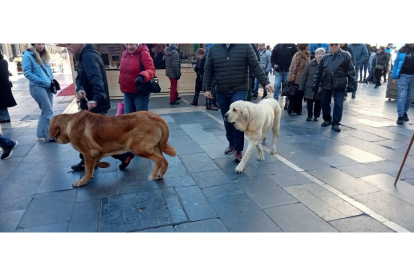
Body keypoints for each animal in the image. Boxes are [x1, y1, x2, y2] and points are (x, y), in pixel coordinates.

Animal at [49, 111, 177, 187]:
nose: (53, 139)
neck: (70, 122)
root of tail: (157, 117)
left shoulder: (88, 153)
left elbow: (88, 170)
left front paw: (83, 181)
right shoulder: (96, 153)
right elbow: (94, 164)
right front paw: (102, 165)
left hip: (138, 148)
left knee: (159, 159)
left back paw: (153, 175)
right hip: (155, 147)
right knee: (164, 160)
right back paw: (160, 174)